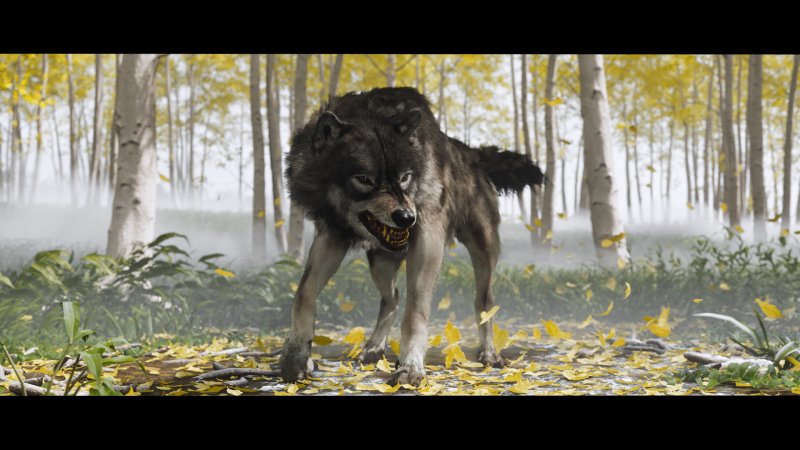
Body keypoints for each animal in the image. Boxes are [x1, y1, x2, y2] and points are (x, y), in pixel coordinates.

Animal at [279, 87, 544, 386]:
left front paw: (410, 367)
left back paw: (488, 353)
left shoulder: (428, 236)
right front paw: (296, 357)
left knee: (484, 302)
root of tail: (471, 152)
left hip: (484, 252)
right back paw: (373, 348)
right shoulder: (331, 237)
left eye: (405, 177)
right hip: (381, 264)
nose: (407, 218)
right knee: (392, 298)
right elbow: (303, 294)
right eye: (365, 179)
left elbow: (415, 311)